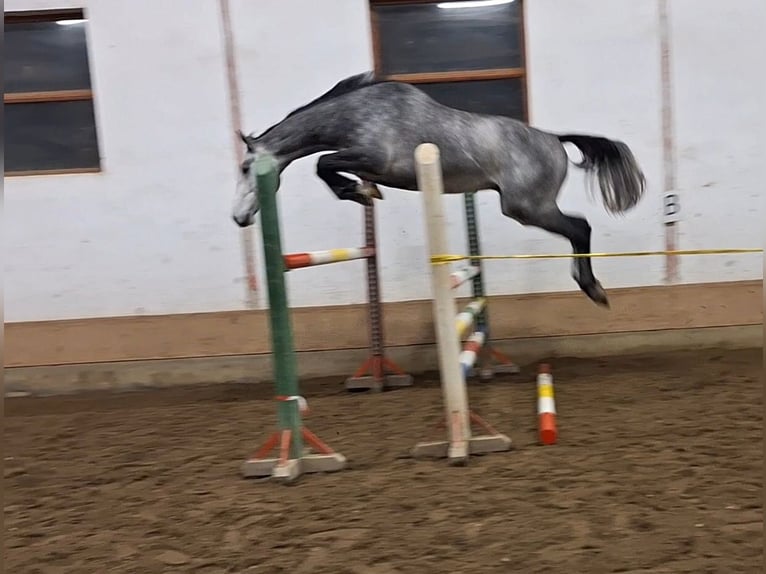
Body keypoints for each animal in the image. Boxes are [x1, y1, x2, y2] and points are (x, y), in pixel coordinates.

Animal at [231, 71, 646, 307]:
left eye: (245, 167)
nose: (238, 218)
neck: (356, 114)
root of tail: (554, 139)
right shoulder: (368, 164)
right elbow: (329, 165)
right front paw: (363, 192)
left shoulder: (375, 158)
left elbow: (324, 164)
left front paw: (359, 193)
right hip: (528, 207)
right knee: (578, 229)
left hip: (527, 208)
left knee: (580, 228)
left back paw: (593, 289)